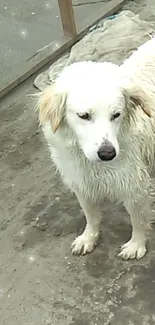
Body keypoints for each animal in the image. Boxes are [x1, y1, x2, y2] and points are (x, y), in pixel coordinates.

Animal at [37, 38, 155, 260]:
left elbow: (137, 219)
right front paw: (88, 238)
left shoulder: (133, 185)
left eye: (116, 115)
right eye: (84, 116)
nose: (107, 153)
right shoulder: (81, 182)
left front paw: (136, 244)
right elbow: (90, 215)